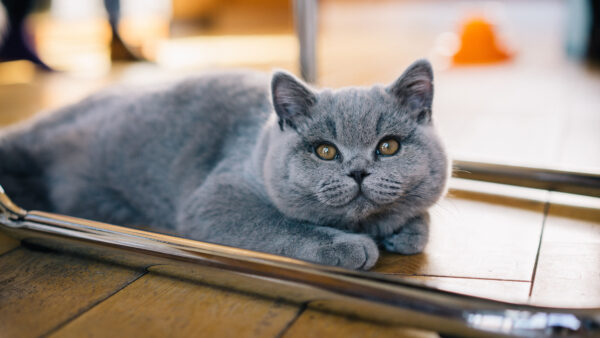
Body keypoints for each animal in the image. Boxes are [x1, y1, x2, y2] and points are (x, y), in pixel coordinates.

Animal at [0, 58, 448, 270]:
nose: (357, 171)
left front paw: (404, 231)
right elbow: (279, 223)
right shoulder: (217, 197)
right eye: (325, 151)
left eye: (388, 146)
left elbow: (418, 217)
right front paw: (350, 246)